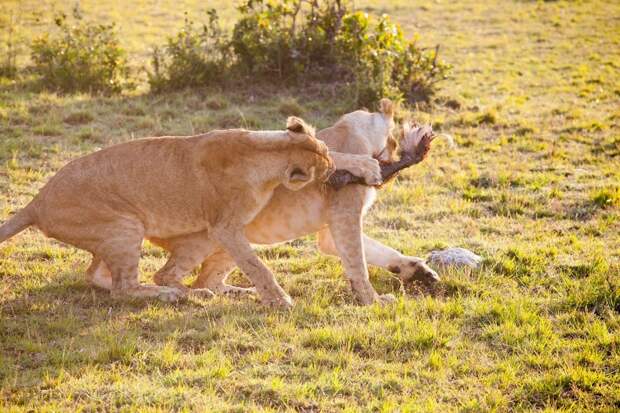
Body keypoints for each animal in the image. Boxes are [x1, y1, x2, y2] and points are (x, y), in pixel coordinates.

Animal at [0, 117, 340, 304]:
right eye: (325, 166)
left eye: (327, 151)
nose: (336, 169)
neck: (266, 153)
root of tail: (37, 201)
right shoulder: (225, 227)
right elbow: (256, 265)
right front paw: (280, 299)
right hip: (126, 226)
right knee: (126, 288)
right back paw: (170, 294)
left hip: (114, 235)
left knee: (99, 275)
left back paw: (205, 293)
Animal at [149, 99, 440, 306]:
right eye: (394, 143)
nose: (386, 172)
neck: (351, 130)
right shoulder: (344, 215)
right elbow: (358, 263)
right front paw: (373, 301)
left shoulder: (331, 234)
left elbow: (380, 252)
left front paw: (419, 271)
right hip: (213, 232)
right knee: (175, 277)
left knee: (206, 280)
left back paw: (244, 293)